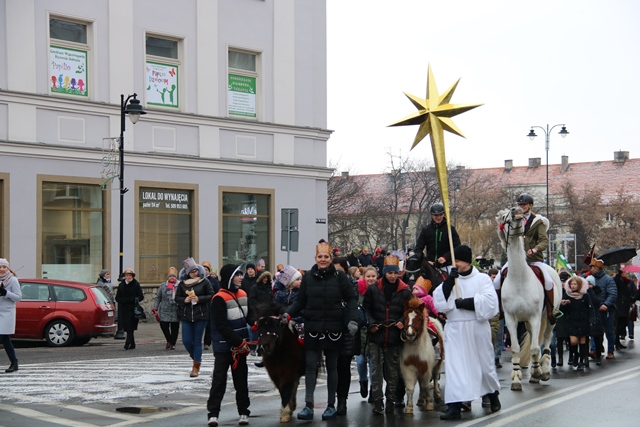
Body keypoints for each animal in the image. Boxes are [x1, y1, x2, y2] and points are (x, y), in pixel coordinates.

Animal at [497, 207, 562, 391]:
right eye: (504, 217)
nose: (516, 211)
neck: (519, 278)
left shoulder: (535, 317)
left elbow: (534, 348)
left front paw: (539, 372)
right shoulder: (511, 320)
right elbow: (515, 349)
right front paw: (516, 379)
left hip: (549, 317)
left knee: (546, 340)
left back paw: (543, 370)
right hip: (527, 321)